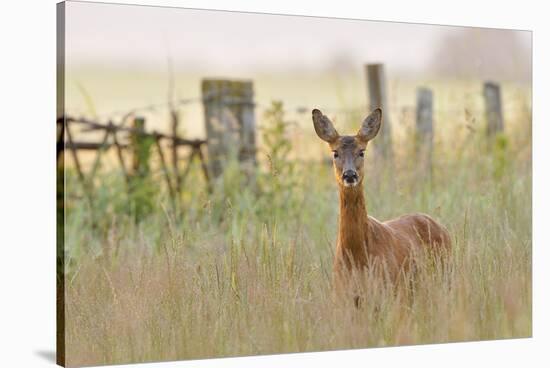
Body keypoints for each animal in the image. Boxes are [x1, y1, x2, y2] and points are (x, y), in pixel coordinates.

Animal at [312, 107, 450, 296]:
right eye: (335, 153)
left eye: (362, 152)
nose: (350, 175)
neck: (358, 258)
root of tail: (442, 228)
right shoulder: (342, 293)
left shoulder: (389, 288)